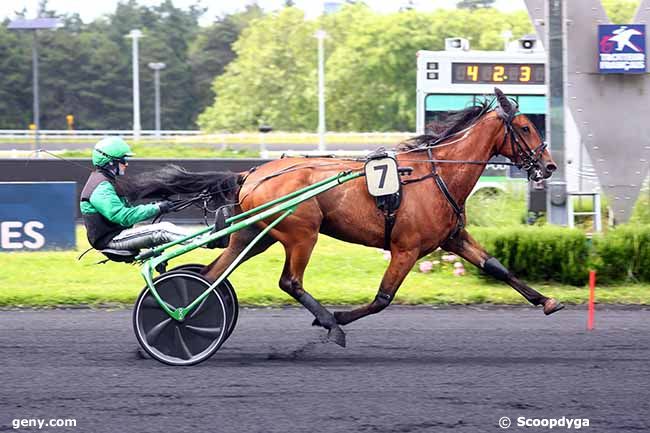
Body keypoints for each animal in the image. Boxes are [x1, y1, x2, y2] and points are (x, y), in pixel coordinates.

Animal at [125, 89, 560, 346]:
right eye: (526, 126)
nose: (550, 166)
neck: (437, 173)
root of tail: (252, 173)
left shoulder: (453, 237)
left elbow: (498, 267)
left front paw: (547, 300)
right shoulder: (406, 248)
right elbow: (383, 299)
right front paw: (336, 318)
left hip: (255, 234)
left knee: (211, 275)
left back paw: (188, 316)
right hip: (302, 233)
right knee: (288, 281)